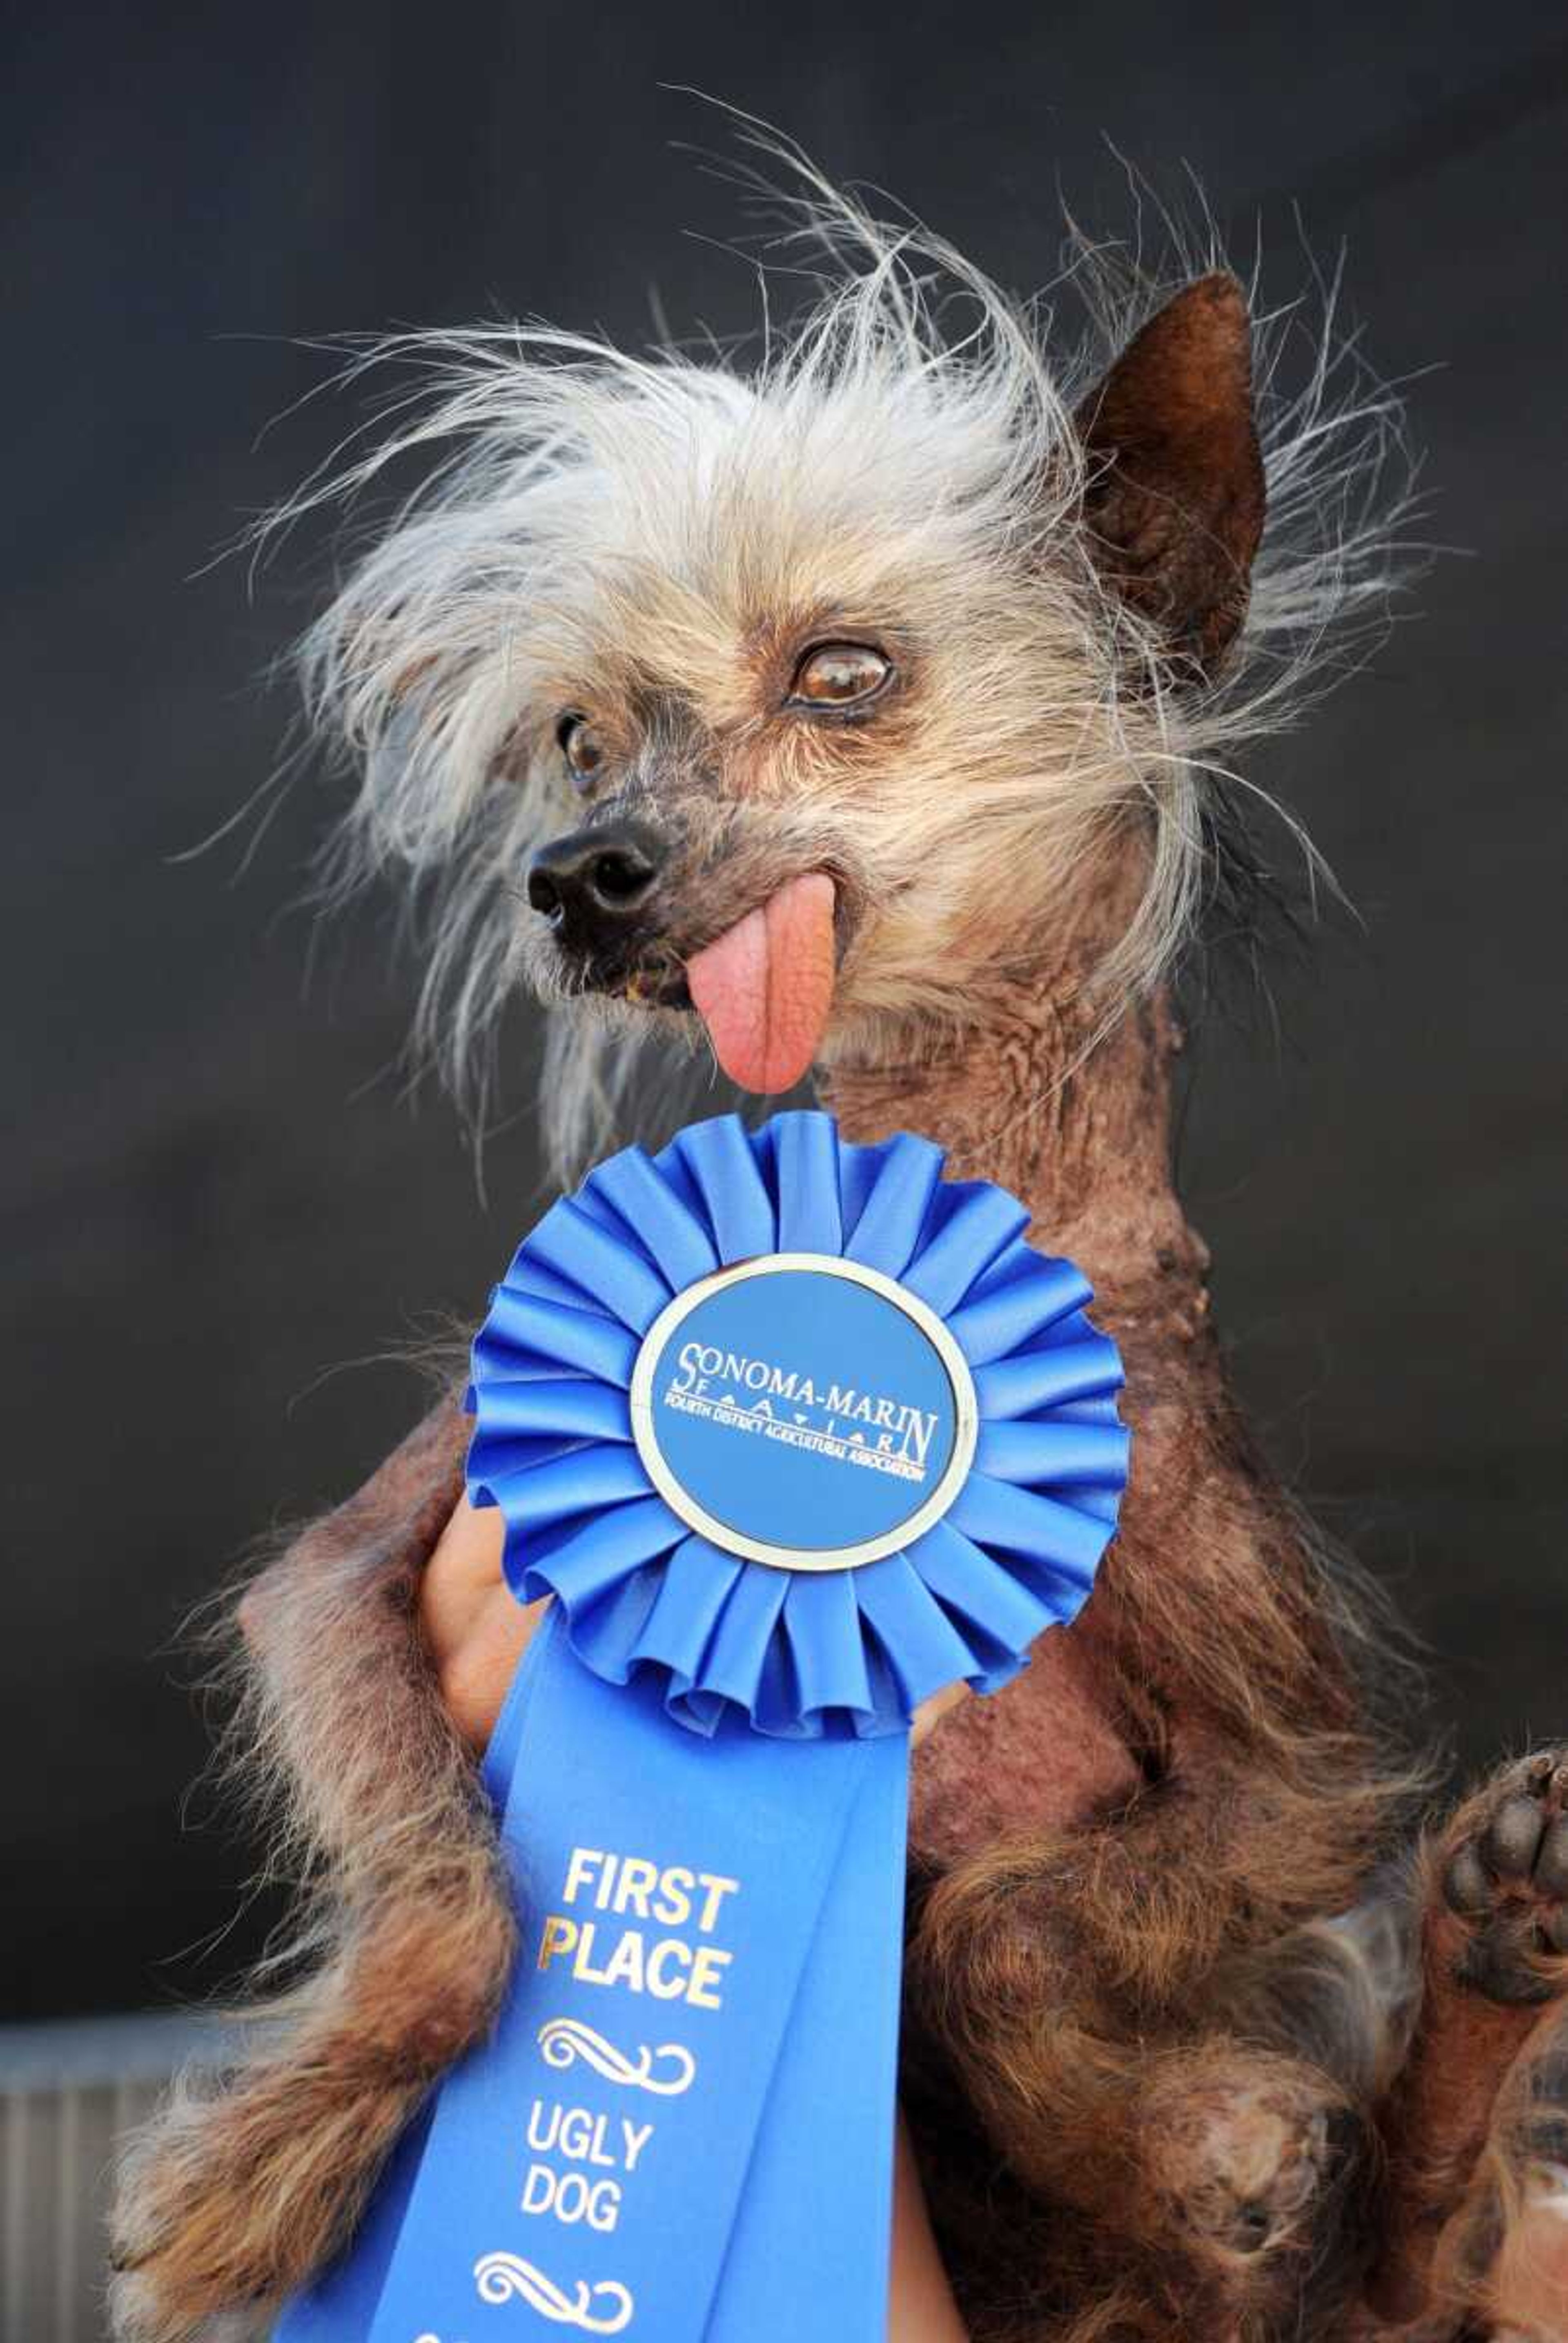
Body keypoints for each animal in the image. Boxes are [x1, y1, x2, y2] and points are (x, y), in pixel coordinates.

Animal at [113, 156, 1566, 2334]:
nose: (575, 875)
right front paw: (268, 2160)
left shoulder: (1298, 1774)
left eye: (846, 674)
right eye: (576, 734)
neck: (906, 1208)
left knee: (1403, 2242)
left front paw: (1188, 2133)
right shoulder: (352, 1571)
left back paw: (1465, 1967)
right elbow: (450, 1900)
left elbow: (1000, 1929)